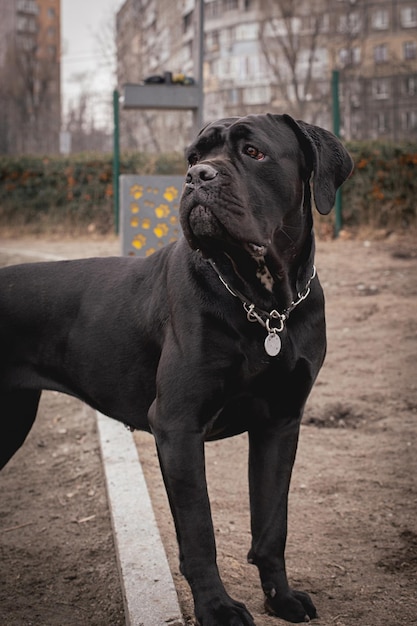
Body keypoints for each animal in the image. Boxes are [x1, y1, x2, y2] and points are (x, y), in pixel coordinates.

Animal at [0, 113, 352, 624]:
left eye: (254, 152)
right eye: (193, 157)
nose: (197, 177)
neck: (266, 303)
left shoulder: (280, 423)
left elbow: (272, 524)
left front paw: (281, 597)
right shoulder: (179, 426)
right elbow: (199, 533)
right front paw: (217, 608)